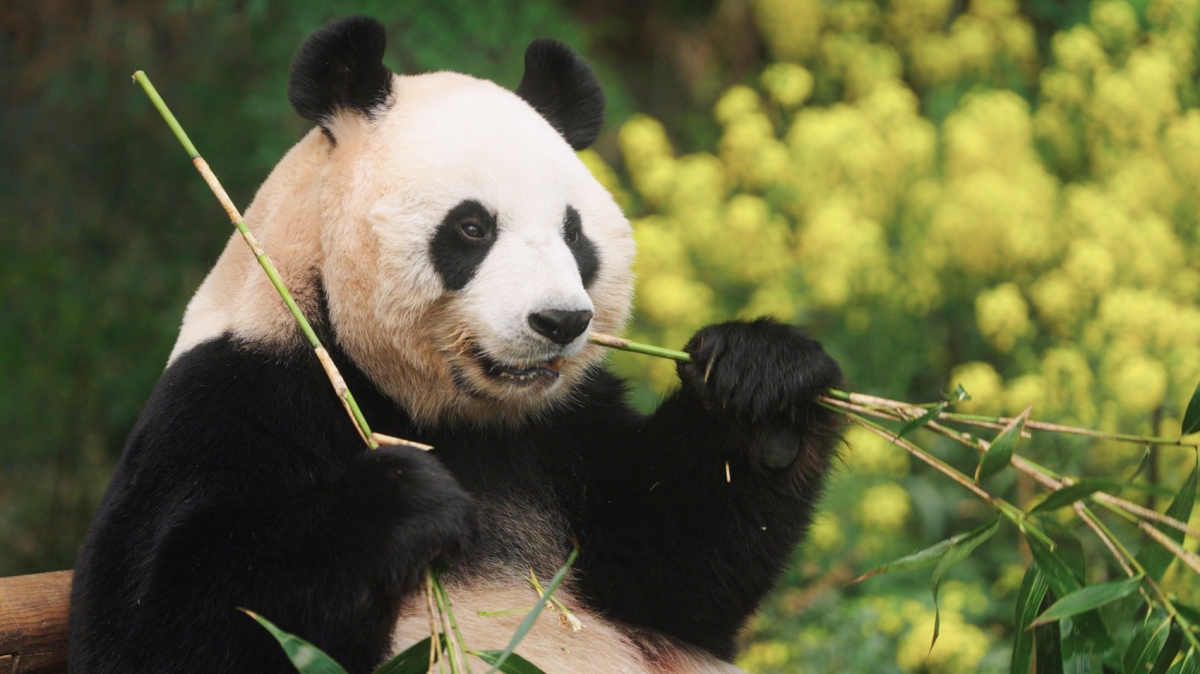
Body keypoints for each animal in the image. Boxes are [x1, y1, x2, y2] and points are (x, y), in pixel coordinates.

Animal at [68, 15, 844, 671]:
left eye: (574, 234)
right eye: (472, 228)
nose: (560, 322)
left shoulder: (563, 428)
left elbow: (673, 571)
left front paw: (761, 386)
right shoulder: (238, 392)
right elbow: (159, 621)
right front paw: (405, 496)